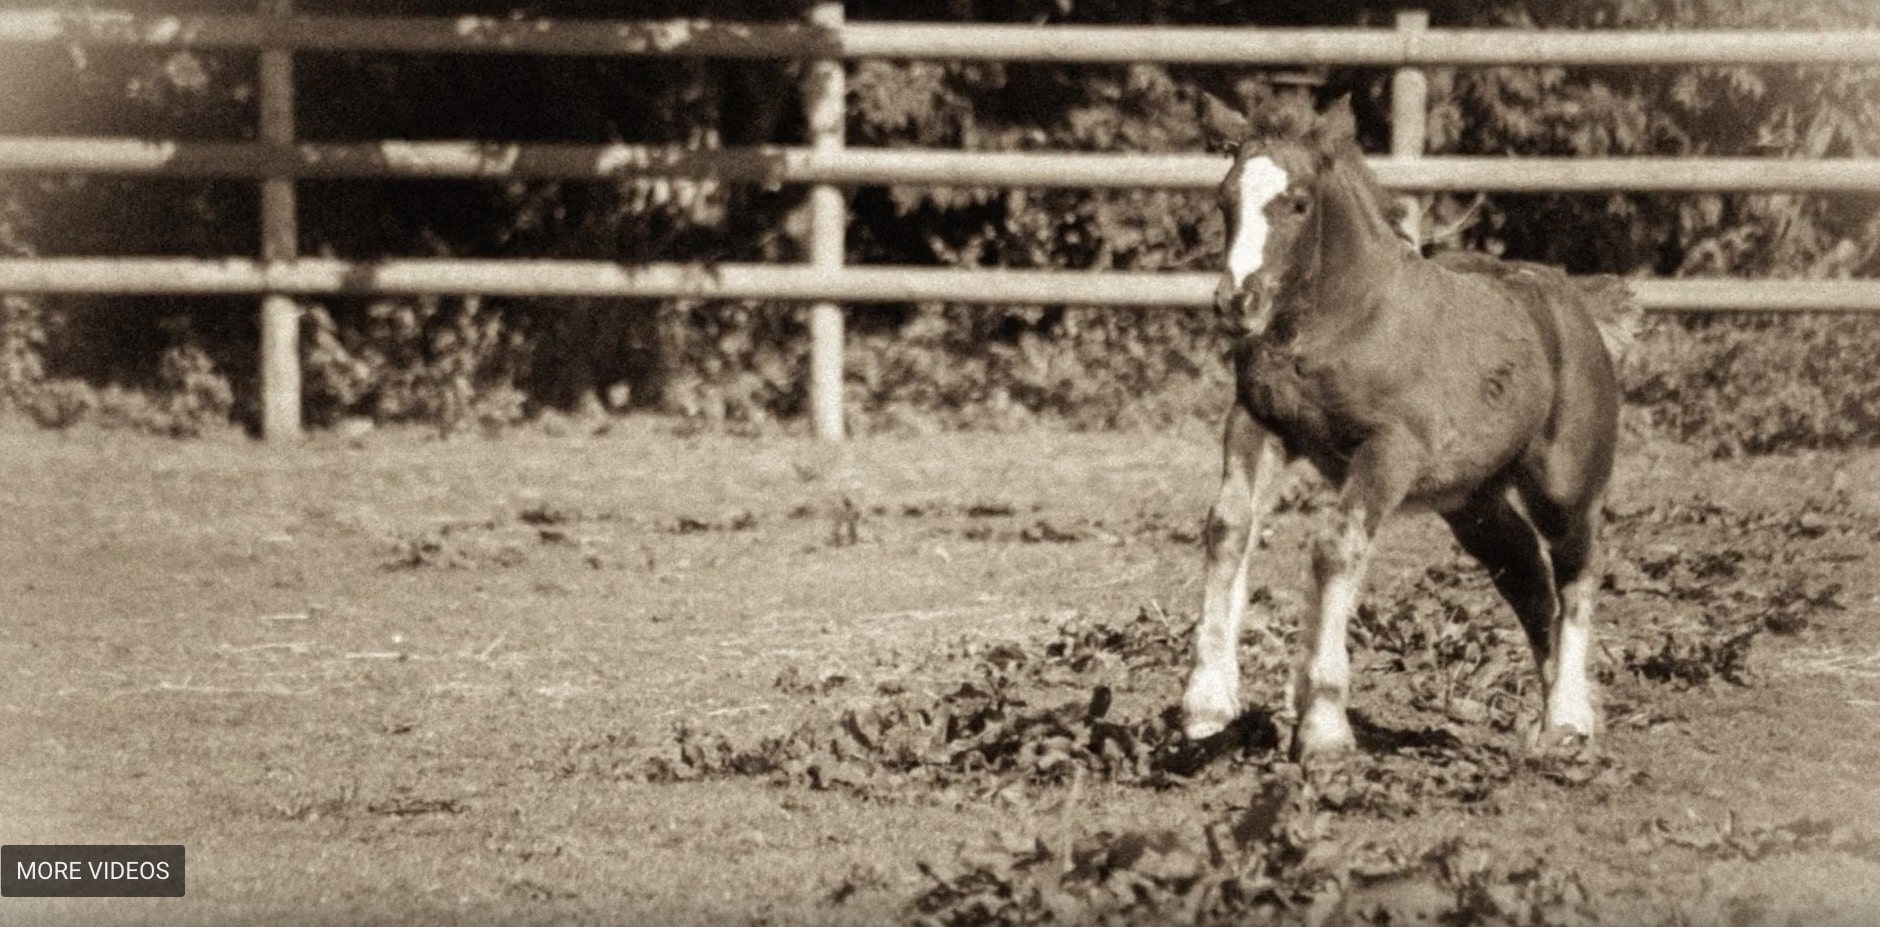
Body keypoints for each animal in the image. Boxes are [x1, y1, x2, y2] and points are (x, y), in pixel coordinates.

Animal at [1178, 95, 1640, 761]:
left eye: (1298, 202)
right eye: (1224, 200)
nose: (1237, 302)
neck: (1343, 324)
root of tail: (1576, 307)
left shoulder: (1387, 451)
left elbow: (1336, 546)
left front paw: (1322, 726)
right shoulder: (1257, 423)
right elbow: (1228, 529)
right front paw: (1208, 705)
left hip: (1566, 488)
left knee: (1576, 575)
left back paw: (1570, 718)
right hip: (1473, 502)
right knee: (1529, 582)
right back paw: (1546, 715)